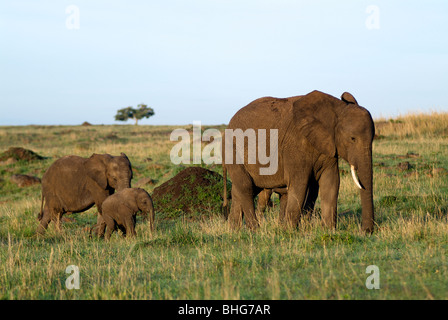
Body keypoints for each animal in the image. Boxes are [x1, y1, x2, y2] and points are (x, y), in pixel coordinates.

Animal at [223, 89, 374, 232]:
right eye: (352, 138)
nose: (366, 231)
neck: (336, 108)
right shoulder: (295, 146)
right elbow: (299, 184)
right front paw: (290, 231)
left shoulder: (329, 147)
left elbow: (331, 182)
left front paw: (329, 230)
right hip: (233, 150)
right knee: (246, 188)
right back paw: (254, 230)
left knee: (239, 190)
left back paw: (234, 231)